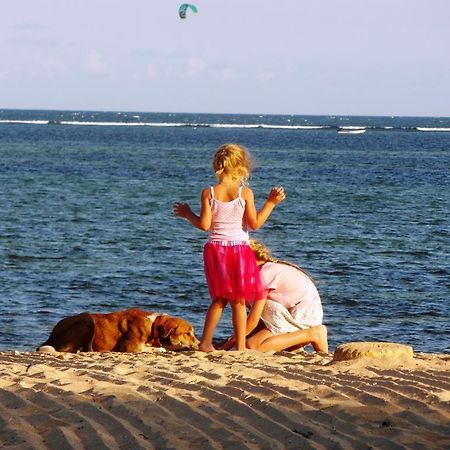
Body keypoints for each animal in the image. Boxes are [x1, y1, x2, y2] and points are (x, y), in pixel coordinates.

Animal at [37, 308, 200, 354]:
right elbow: (149, 349)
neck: (153, 326)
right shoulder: (129, 347)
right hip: (86, 320)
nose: (199, 344)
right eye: (187, 333)